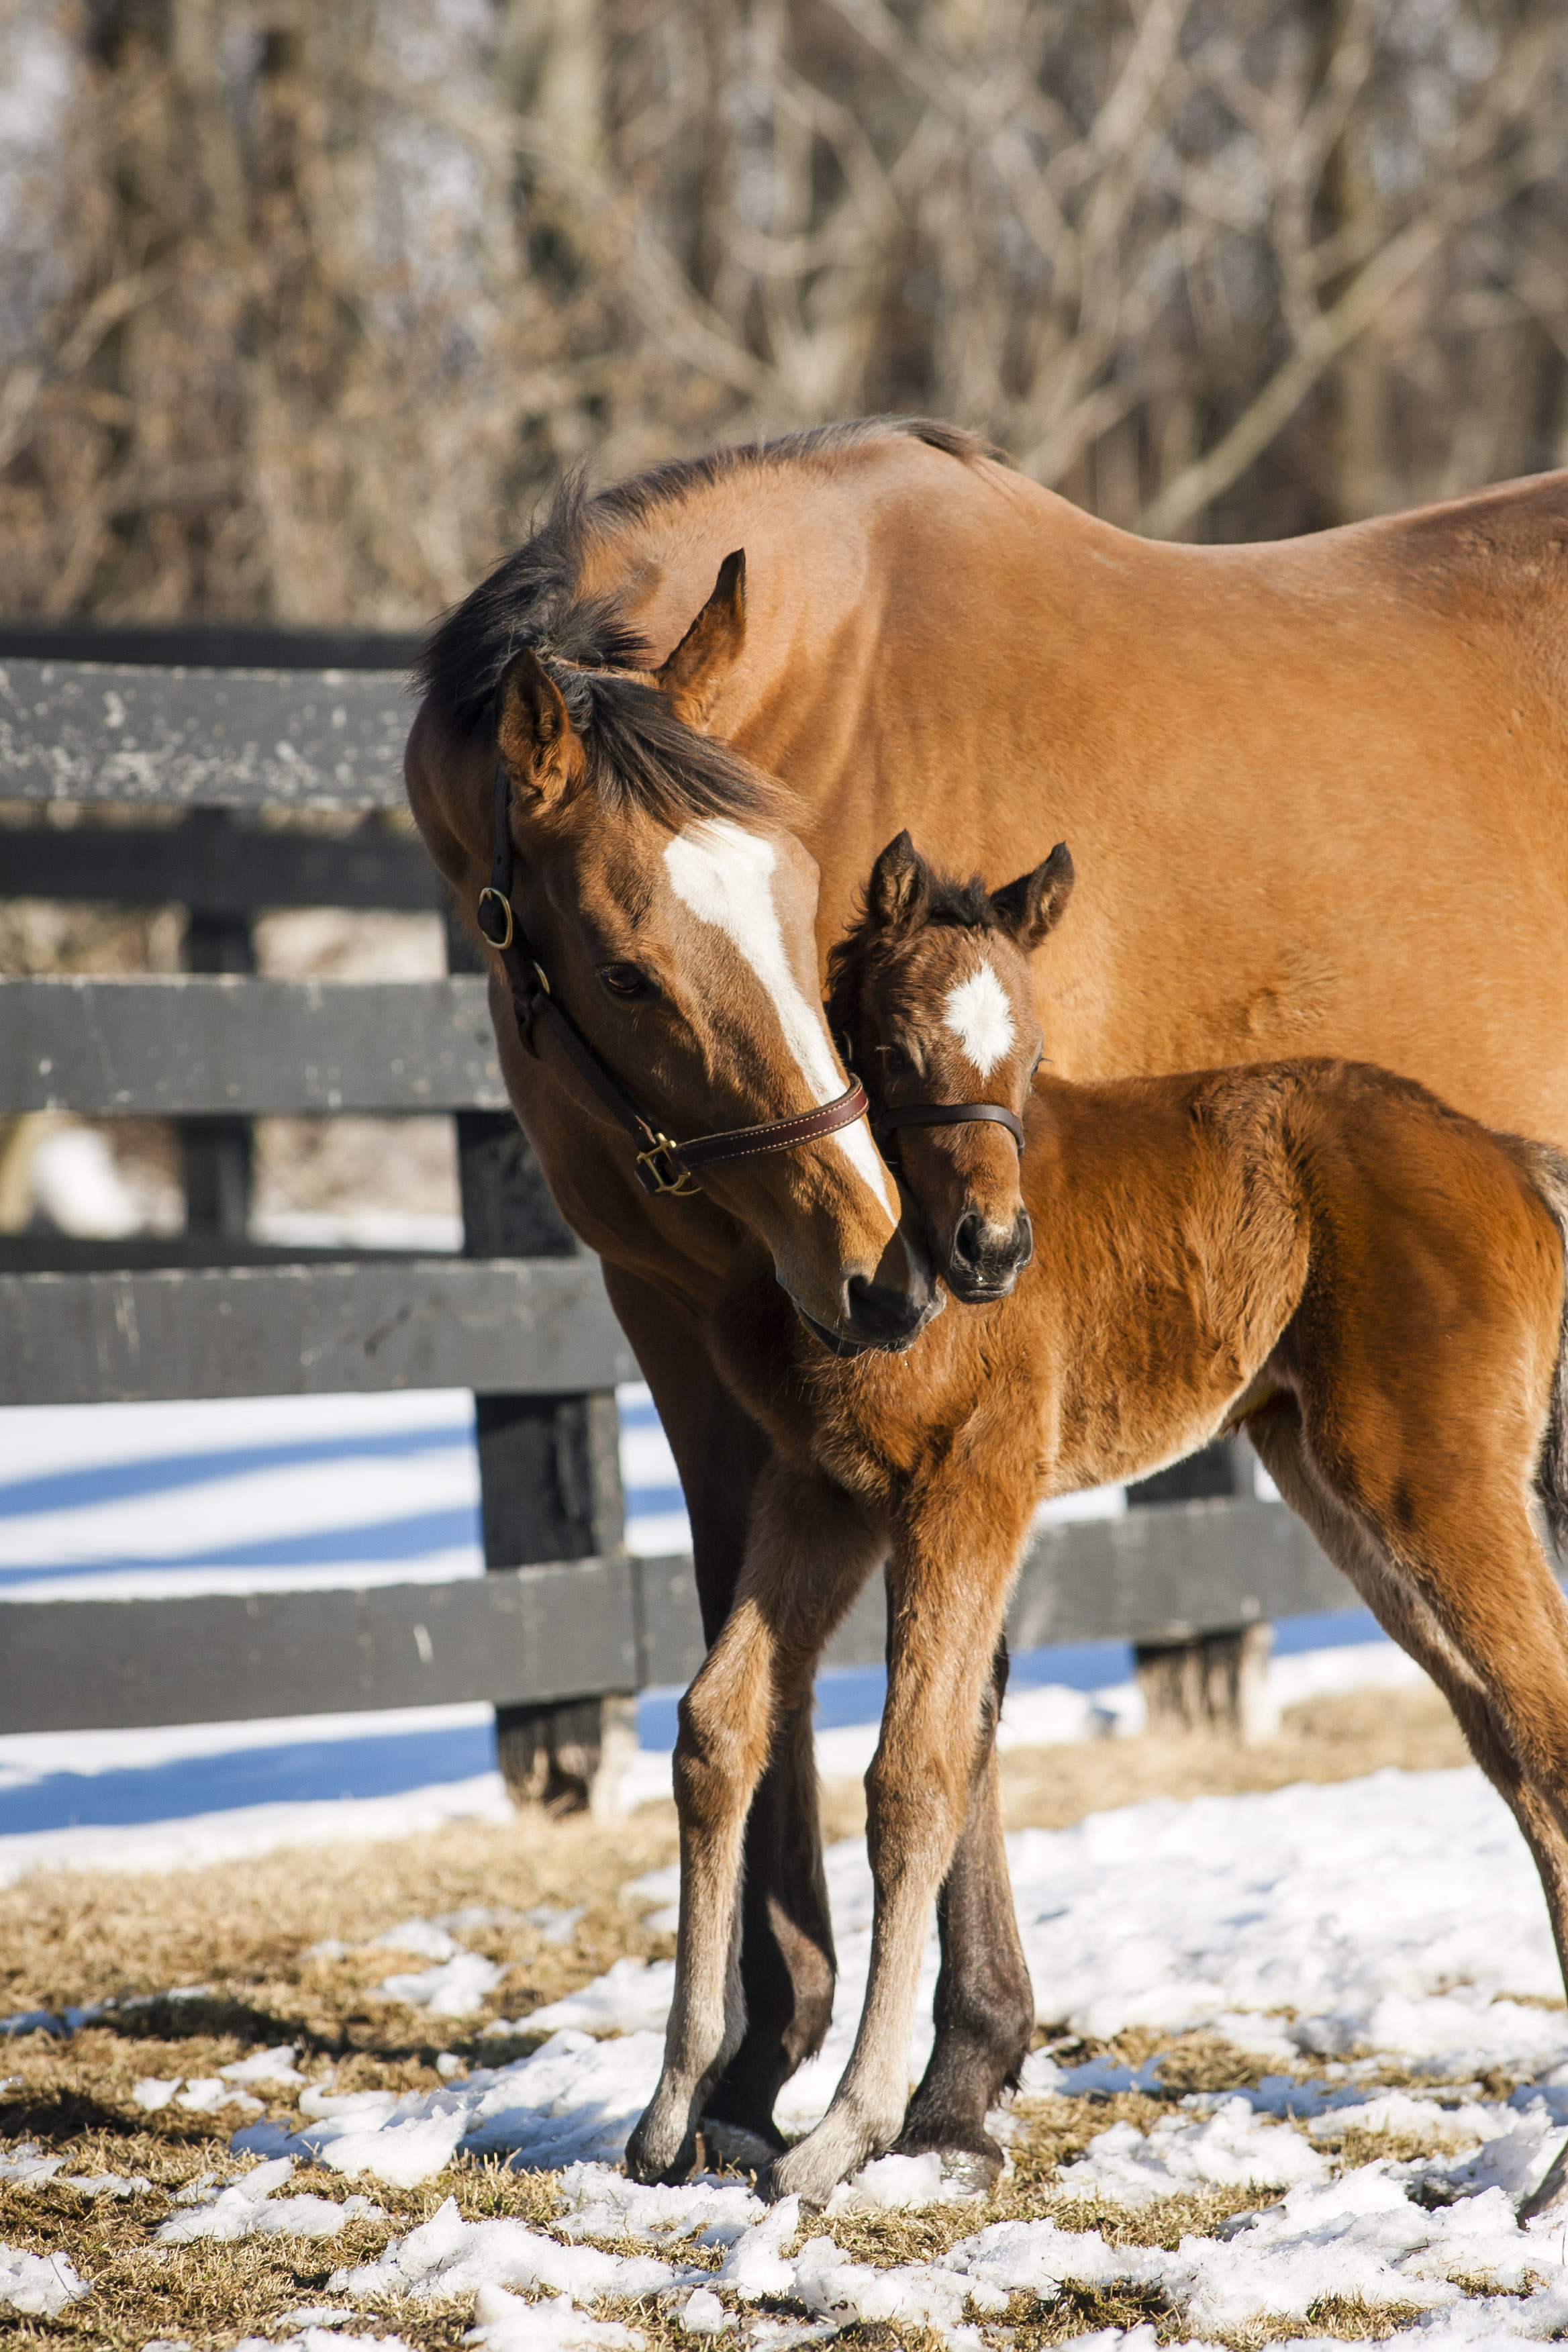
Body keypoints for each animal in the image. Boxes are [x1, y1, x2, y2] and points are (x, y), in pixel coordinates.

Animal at [650, 825, 1568, 2209]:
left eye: (1031, 1055)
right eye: (894, 1049)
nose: (992, 1251)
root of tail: (1510, 1154)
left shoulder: (971, 1488)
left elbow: (915, 1771)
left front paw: (846, 2129)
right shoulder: (822, 1491)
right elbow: (722, 1725)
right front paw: (668, 2111)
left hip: (1434, 1481)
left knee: (1546, 1731)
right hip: (1342, 1490)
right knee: (1510, 1745)